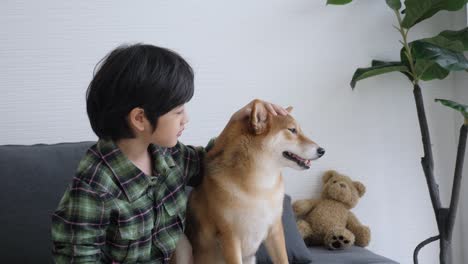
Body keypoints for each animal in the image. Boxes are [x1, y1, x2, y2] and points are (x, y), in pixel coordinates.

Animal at [185, 100, 324, 262]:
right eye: (292, 130)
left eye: (300, 130)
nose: (322, 150)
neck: (261, 187)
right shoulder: (230, 237)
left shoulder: (275, 230)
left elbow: (282, 259)